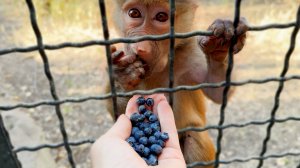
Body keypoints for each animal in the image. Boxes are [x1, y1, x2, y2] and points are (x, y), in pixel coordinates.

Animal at [104, 0, 247, 167]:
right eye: (134, 13)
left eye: (161, 17)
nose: (141, 47)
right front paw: (123, 76)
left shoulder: (189, 53)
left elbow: (218, 92)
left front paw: (219, 47)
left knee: (194, 134)